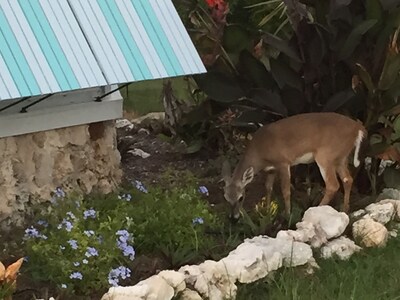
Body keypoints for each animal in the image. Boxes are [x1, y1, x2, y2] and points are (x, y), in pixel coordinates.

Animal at [220, 112, 368, 220]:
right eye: (225, 198)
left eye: (241, 197)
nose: (233, 218)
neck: (260, 151)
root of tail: (358, 128)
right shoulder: (270, 170)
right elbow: (268, 187)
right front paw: (267, 212)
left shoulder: (283, 162)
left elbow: (285, 190)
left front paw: (287, 215)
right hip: (341, 157)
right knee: (348, 179)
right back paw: (345, 210)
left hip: (325, 155)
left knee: (333, 184)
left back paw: (315, 210)